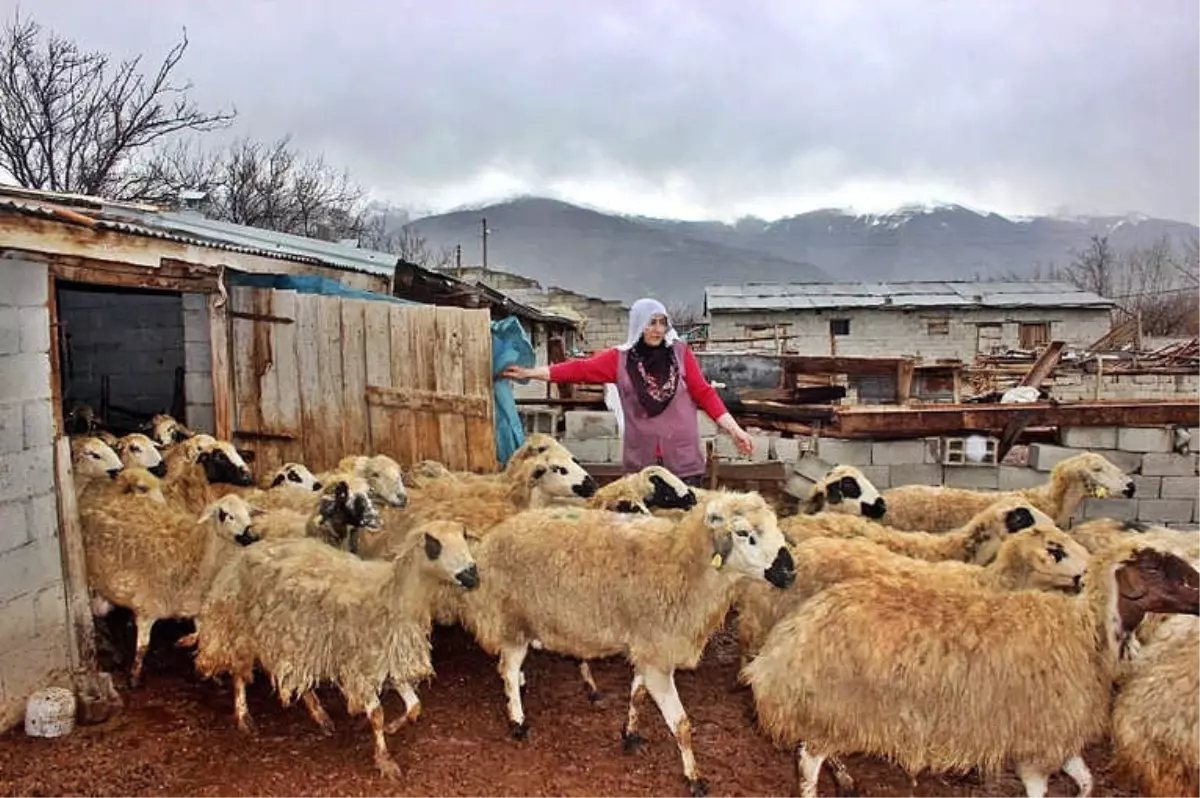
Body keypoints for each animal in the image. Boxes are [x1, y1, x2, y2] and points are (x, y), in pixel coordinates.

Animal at [79, 492, 260, 686]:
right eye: (225, 514)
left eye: (249, 513)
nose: (251, 537)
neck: (198, 553)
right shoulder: (148, 608)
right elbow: (143, 647)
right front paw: (134, 678)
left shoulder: (197, 608)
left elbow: (202, 639)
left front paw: (208, 674)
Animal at [187, 516, 477, 777]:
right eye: (433, 543)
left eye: (464, 535)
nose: (473, 575)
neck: (392, 597)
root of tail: (237, 559)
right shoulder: (359, 668)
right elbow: (377, 714)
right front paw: (385, 760)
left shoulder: (390, 661)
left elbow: (415, 707)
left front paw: (393, 727)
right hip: (239, 629)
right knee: (239, 673)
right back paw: (244, 717)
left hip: (296, 641)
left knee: (298, 678)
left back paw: (320, 715)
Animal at [734, 537, 1200, 796]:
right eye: (1155, 567)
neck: (1087, 630)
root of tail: (788, 642)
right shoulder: (1036, 743)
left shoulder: (1058, 737)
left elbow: (1087, 783)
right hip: (837, 706)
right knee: (808, 761)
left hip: (834, 712)